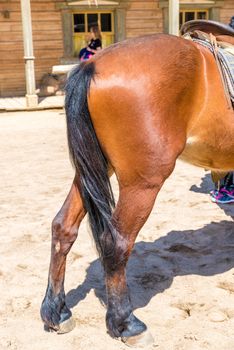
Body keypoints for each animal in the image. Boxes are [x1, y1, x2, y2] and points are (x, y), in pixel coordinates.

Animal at [40, 23, 234, 344]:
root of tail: (93, 64)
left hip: (90, 172)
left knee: (63, 227)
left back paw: (56, 311)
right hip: (142, 184)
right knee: (116, 242)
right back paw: (126, 323)